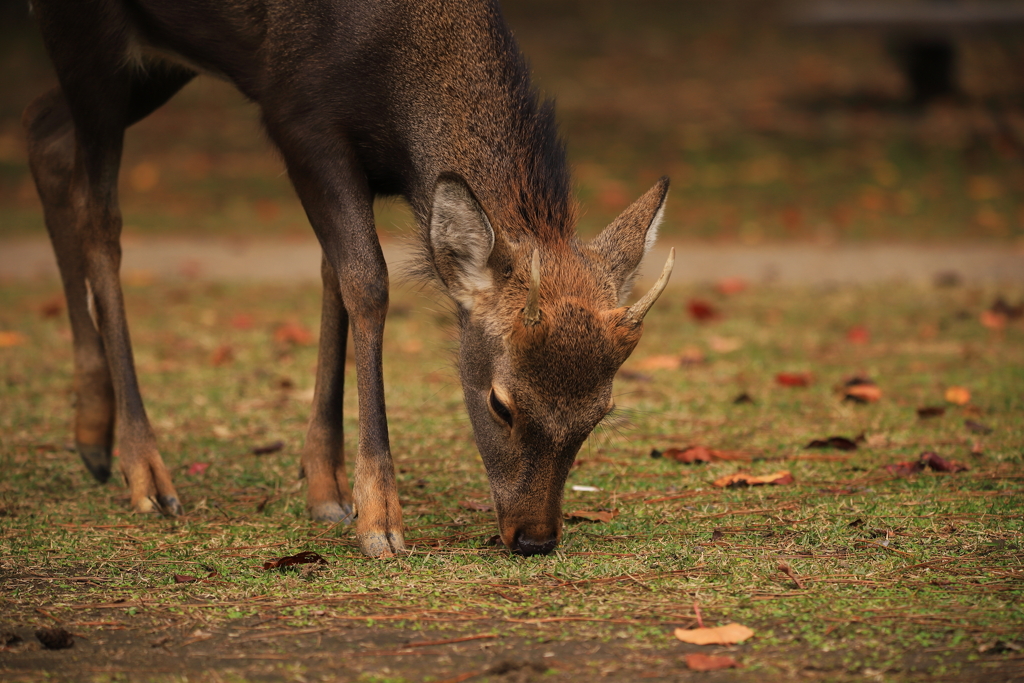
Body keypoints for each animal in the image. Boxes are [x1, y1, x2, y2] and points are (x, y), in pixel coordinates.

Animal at [22, 0, 671, 557]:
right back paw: (145, 470)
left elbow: (333, 274)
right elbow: (367, 281)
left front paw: (325, 487)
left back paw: (92, 431)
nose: (534, 537)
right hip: (88, 35)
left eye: (601, 413)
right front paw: (379, 518)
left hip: (158, 61)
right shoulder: (300, 119)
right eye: (499, 403)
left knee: (44, 131)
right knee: (99, 214)